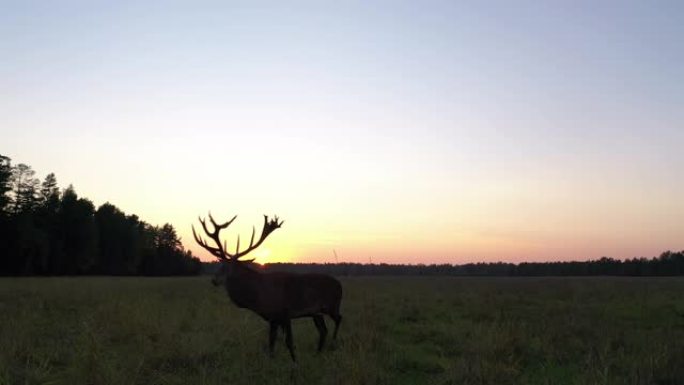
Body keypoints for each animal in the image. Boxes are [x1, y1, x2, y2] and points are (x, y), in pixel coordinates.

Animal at [192, 213, 342, 360]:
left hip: (332, 305)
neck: (259, 296)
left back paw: (333, 343)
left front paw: (295, 362)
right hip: (316, 313)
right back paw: (318, 353)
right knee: (323, 330)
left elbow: (289, 342)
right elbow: (271, 343)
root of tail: (340, 285)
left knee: (338, 319)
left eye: (226, 267)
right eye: (219, 264)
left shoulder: (285, 312)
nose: (214, 280)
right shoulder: (273, 318)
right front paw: (272, 360)